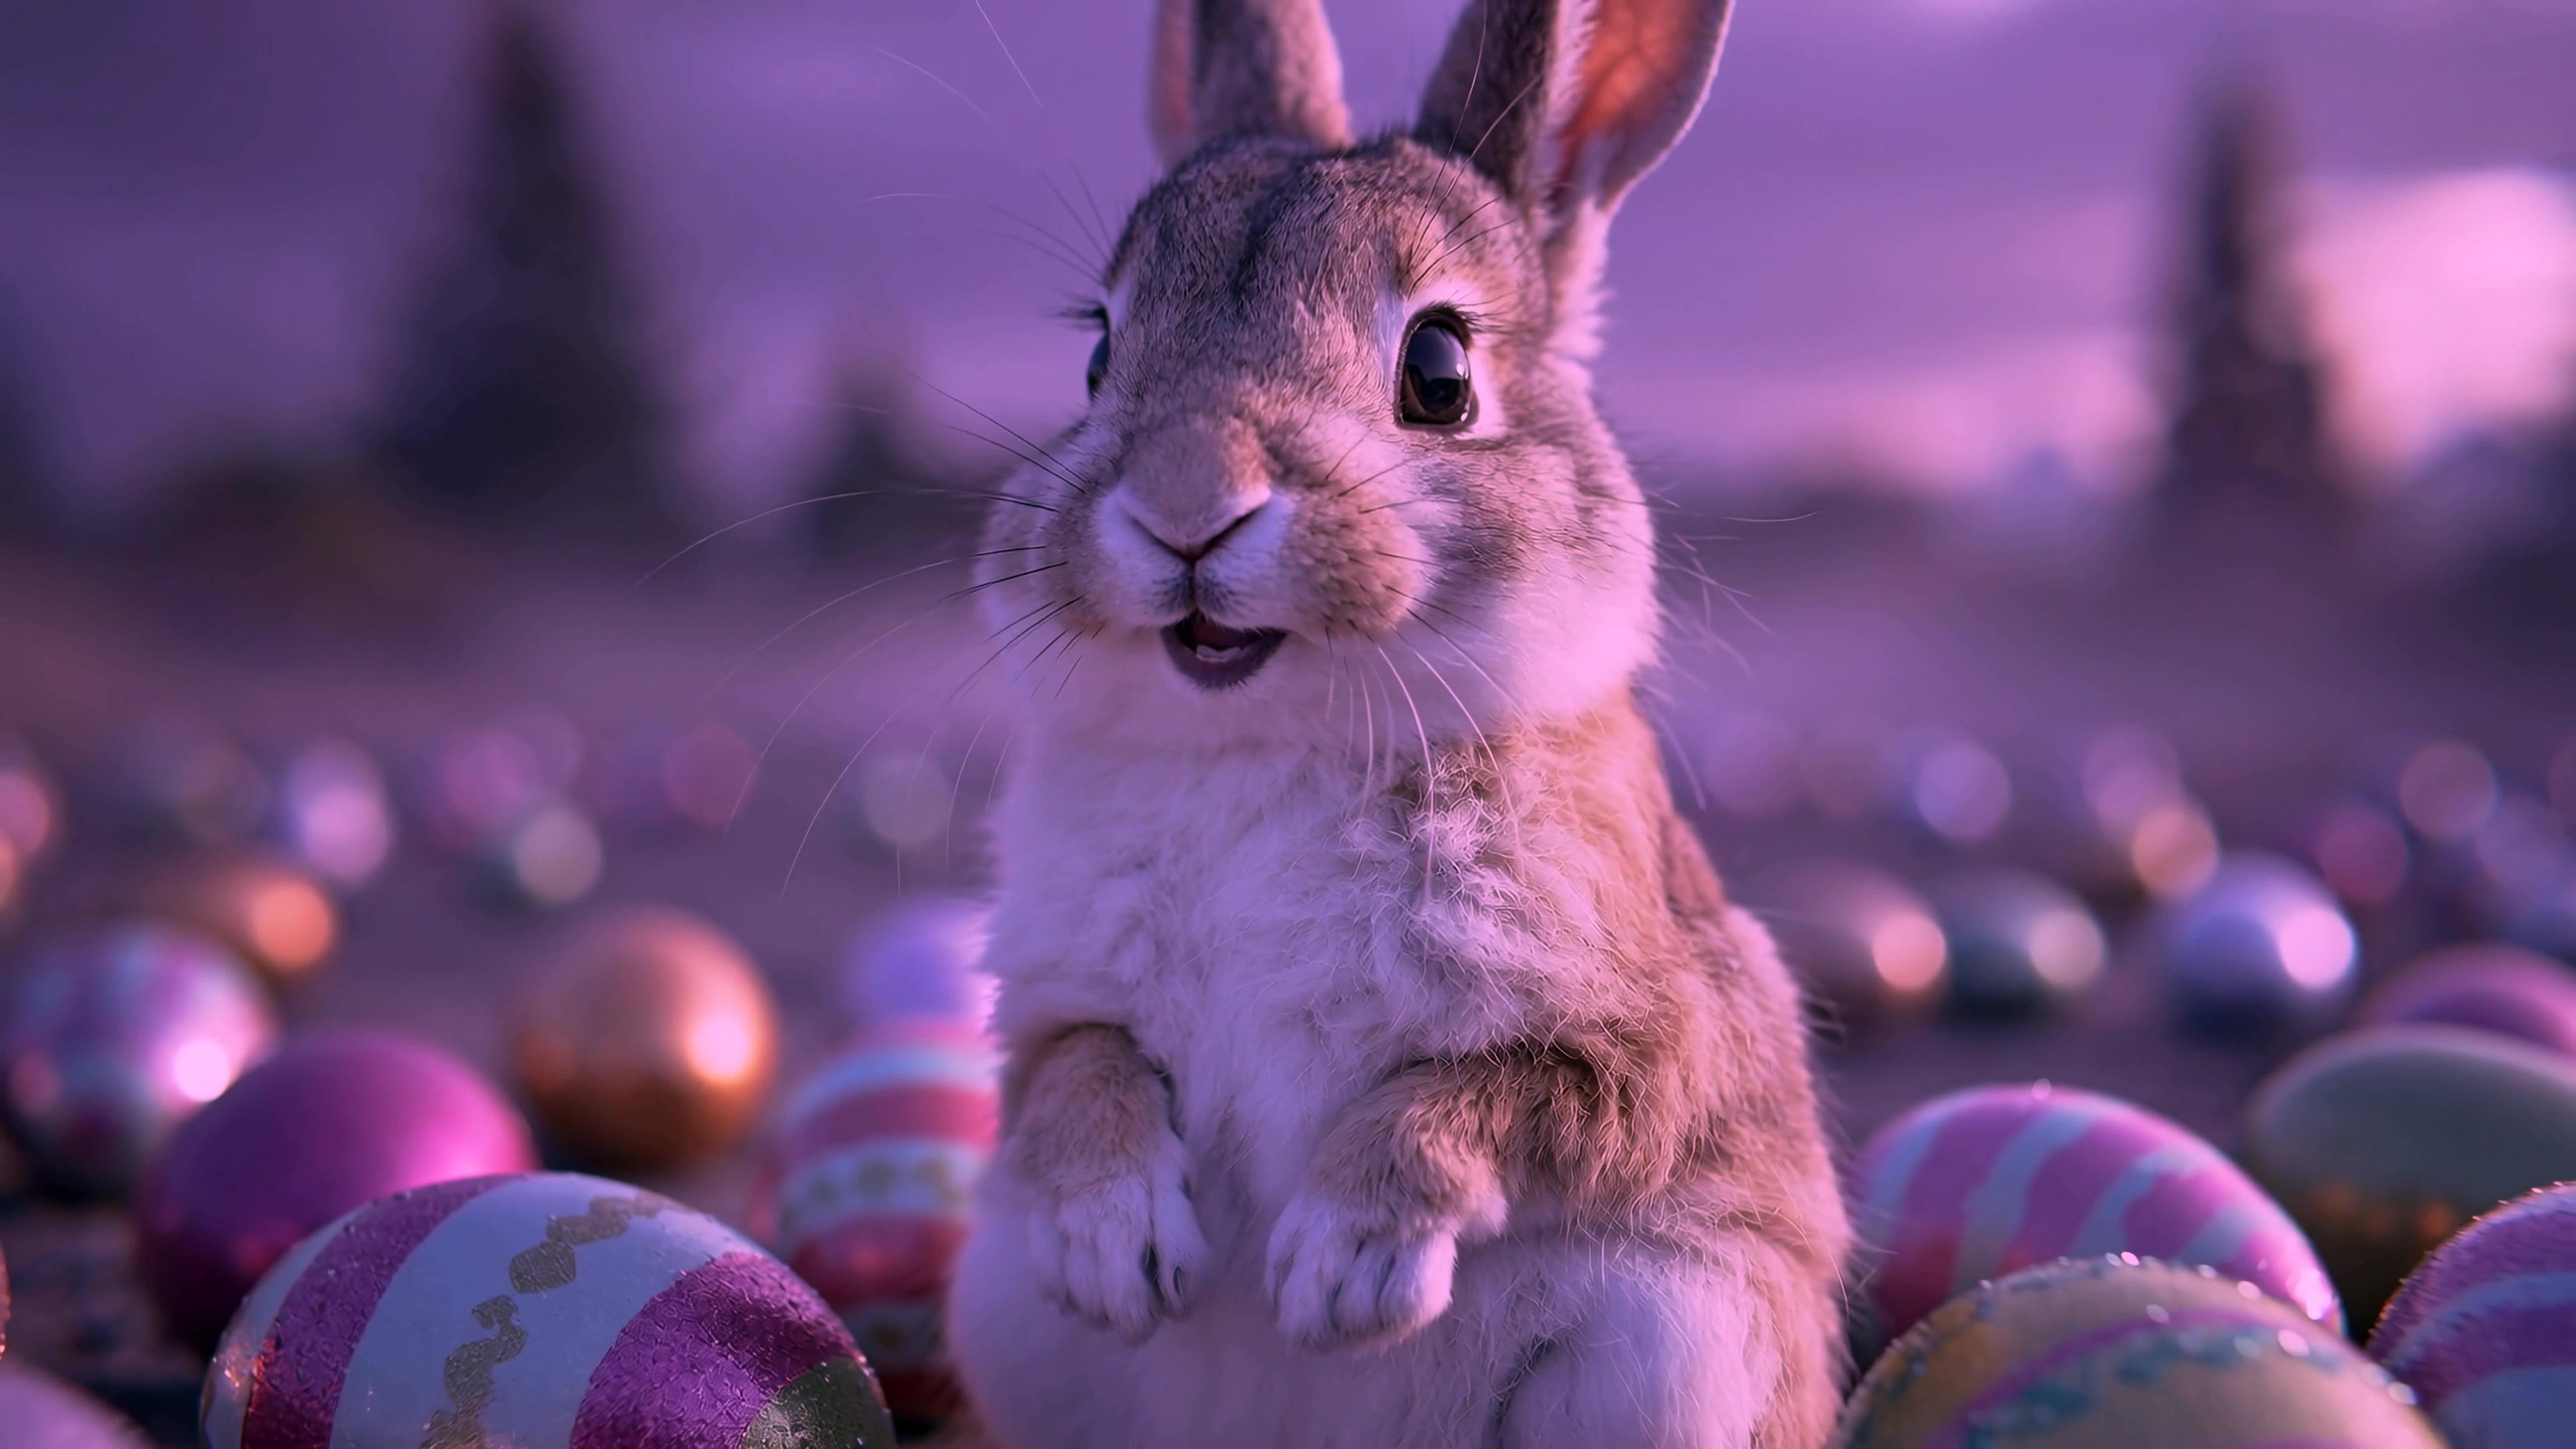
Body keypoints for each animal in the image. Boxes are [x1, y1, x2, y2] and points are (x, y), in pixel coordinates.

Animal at [942, 0, 1852, 1444]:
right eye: (1096, 354)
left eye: (1439, 370)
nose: (1183, 503)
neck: (1269, 744)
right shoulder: (1045, 1009)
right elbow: (1074, 1072)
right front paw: (1110, 1246)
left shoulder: (1647, 1042)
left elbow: (1507, 1093)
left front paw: (1342, 1268)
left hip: (1672, 1354)